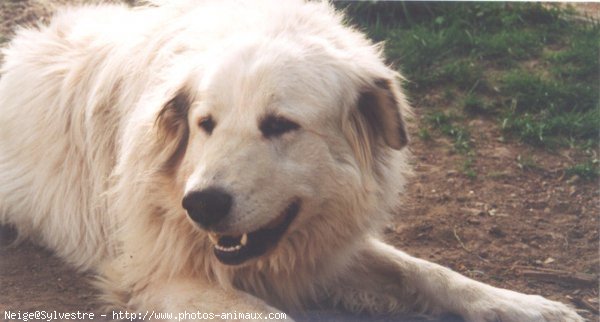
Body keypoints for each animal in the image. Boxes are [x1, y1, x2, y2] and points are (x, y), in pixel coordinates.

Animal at [0, 1, 580, 320]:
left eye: (280, 125)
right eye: (205, 124)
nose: (200, 205)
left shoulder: (323, 250)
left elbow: (428, 271)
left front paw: (528, 306)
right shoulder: (157, 272)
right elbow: (268, 316)